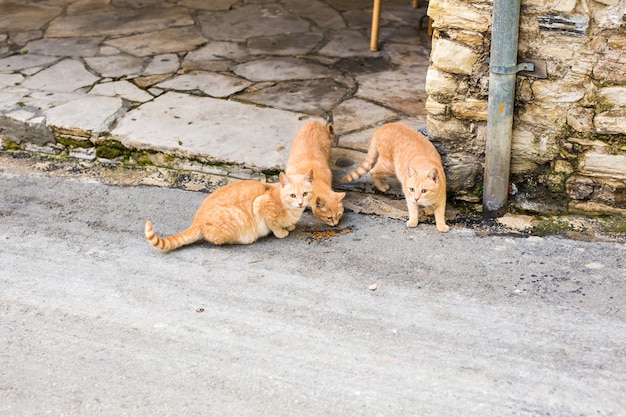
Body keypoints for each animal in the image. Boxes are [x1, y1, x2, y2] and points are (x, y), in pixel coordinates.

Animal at [145, 170, 312, 250]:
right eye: (292, 195)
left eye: (305, 194)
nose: (300, 203)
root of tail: (197, 221)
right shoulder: (260, 204)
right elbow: (274, 225)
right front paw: (281, 231)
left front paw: (289, 225)